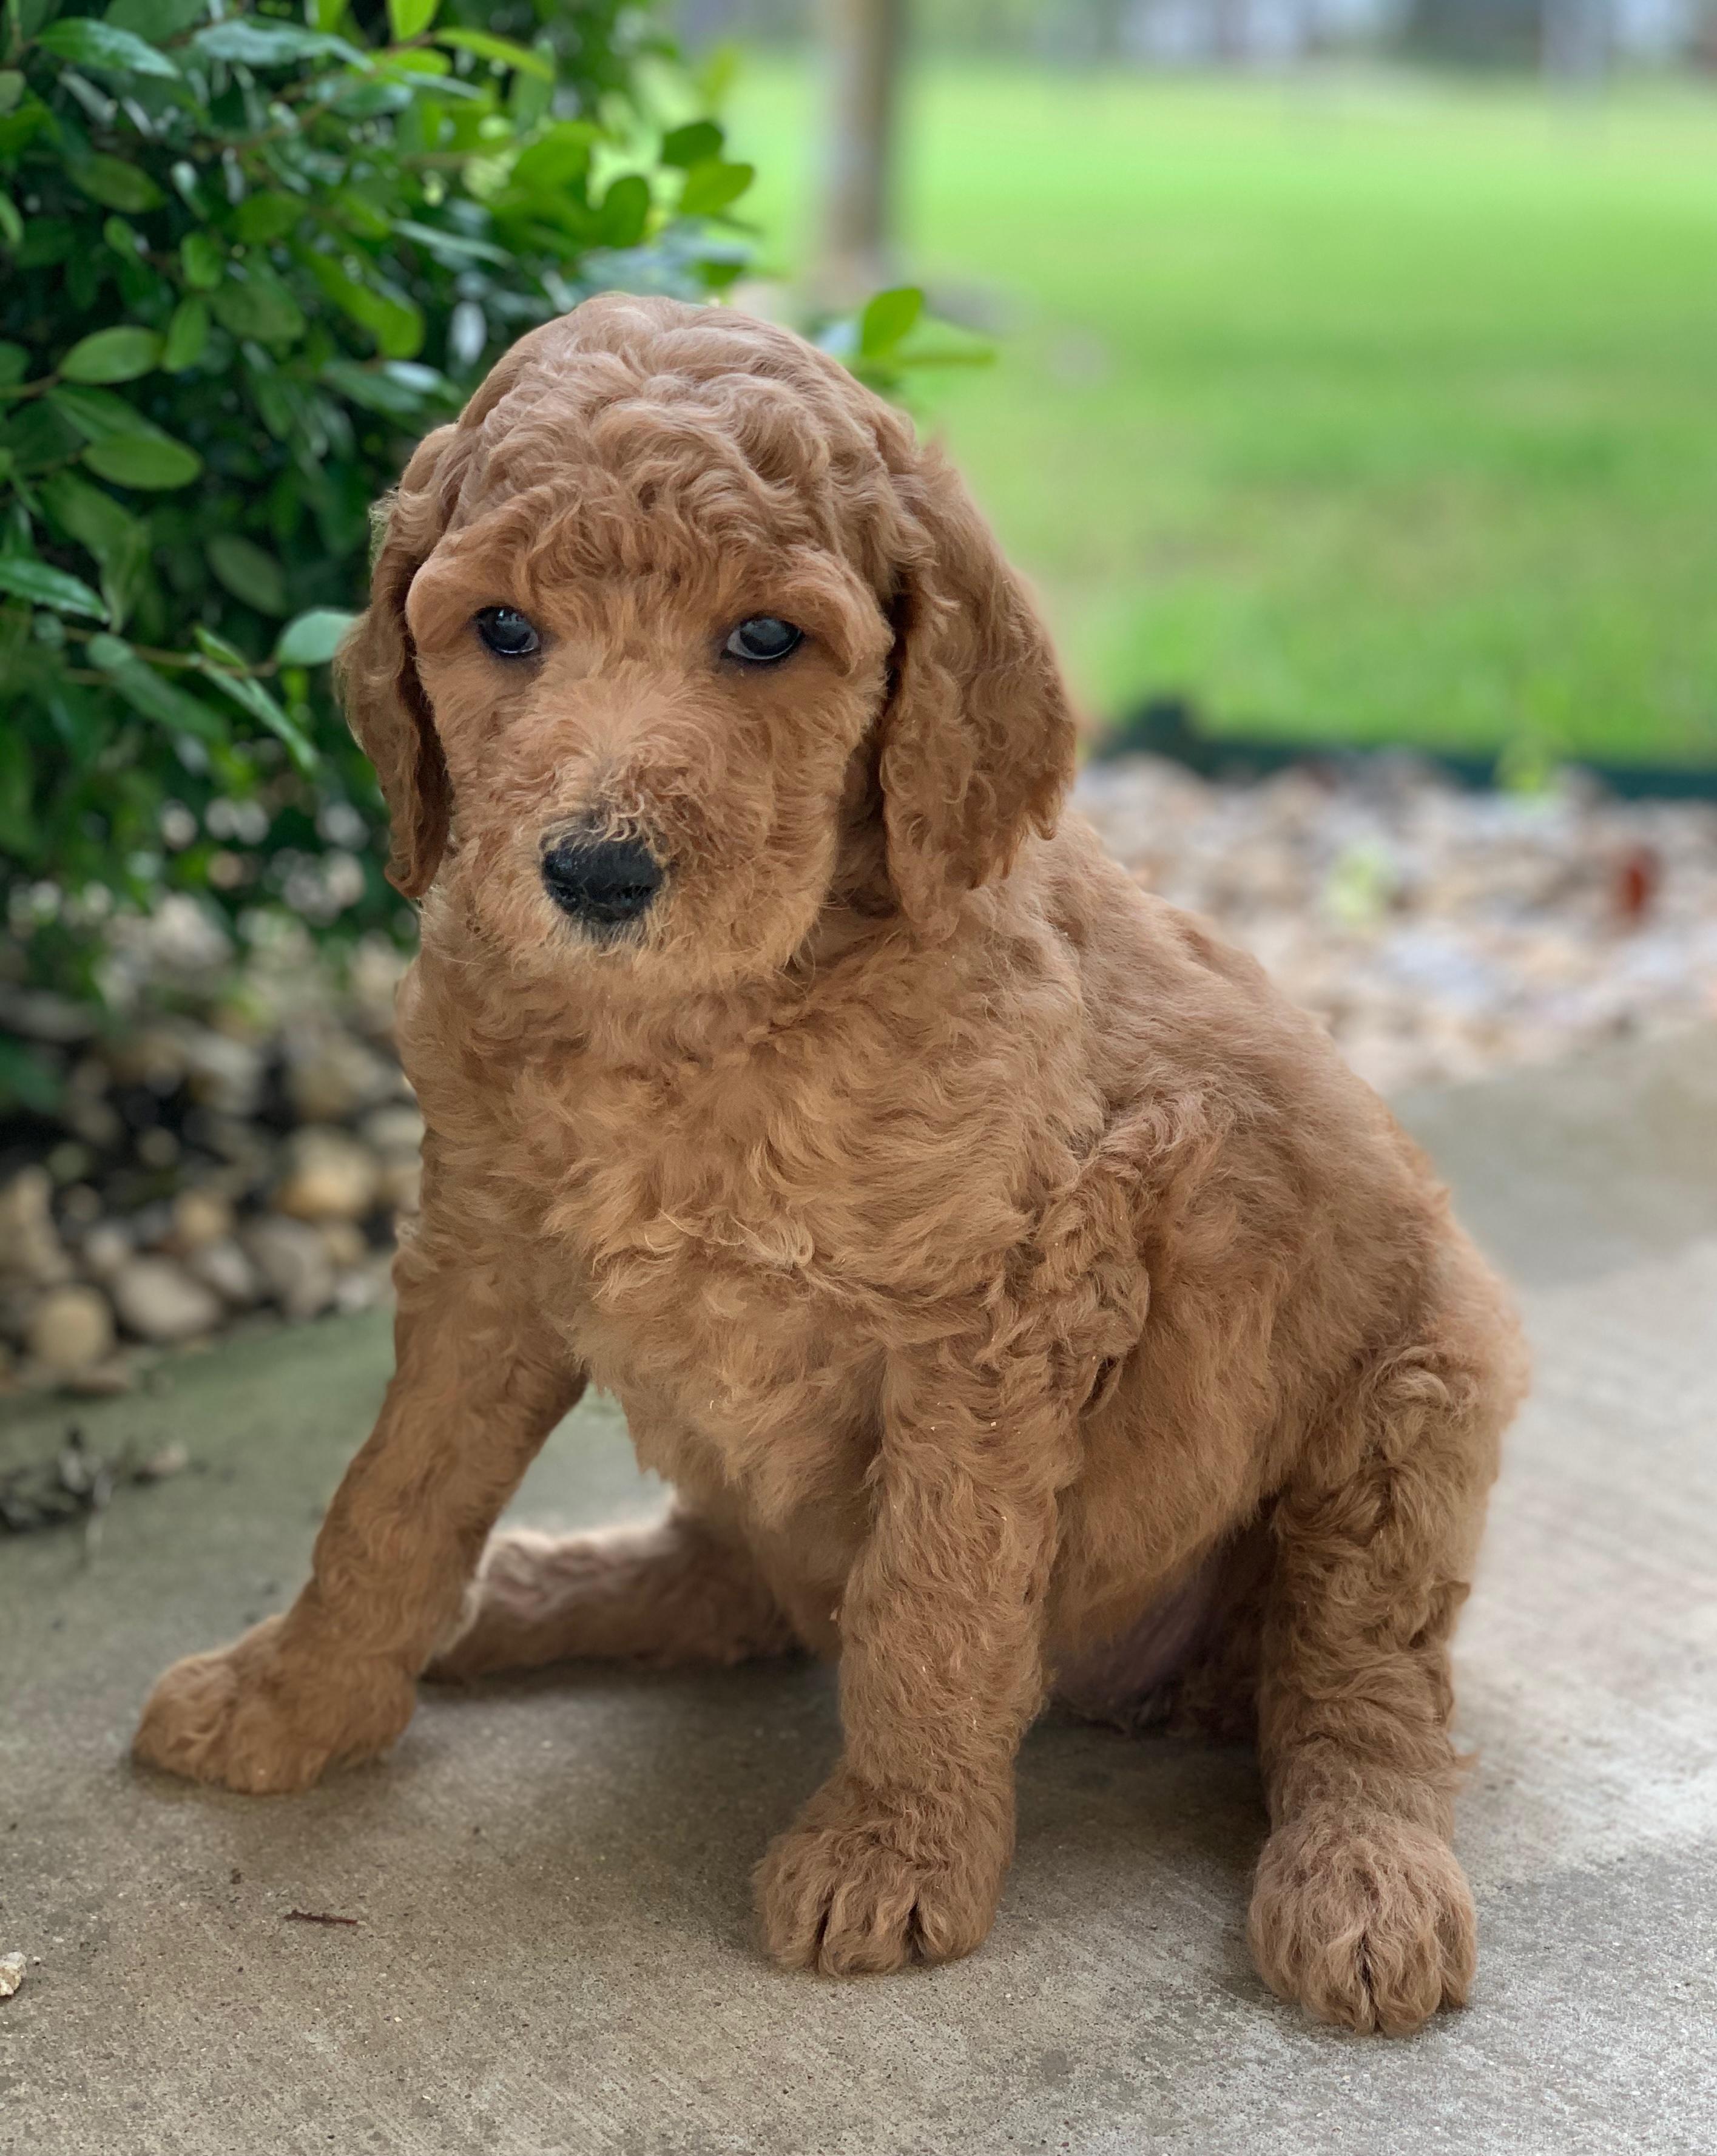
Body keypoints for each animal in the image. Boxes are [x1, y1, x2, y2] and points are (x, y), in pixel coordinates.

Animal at [134, 294, 1527, 2036]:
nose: (596, 874)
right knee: (730, 1589)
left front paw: (892, 1852)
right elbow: (388, 1496)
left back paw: (1361, 1881)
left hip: (1413, 1402)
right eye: (502, 630)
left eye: (762, 641)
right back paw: (517, 1596)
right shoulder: (480, 1255)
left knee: (1358, 1685)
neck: (697, 1027)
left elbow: (931, 1594)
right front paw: (290, 1701)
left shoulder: (997, 1320)